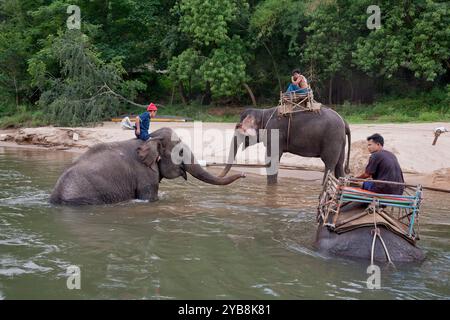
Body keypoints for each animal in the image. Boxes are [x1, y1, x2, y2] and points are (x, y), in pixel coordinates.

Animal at [219, 106, 352, 184]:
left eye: (238, 129)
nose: (243, 174)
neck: (262, 112)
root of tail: (345, 122)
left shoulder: (274, 132)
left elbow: (271, 159)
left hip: (332, 138)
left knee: (329, 164)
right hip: (340, 141)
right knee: (339, 165)